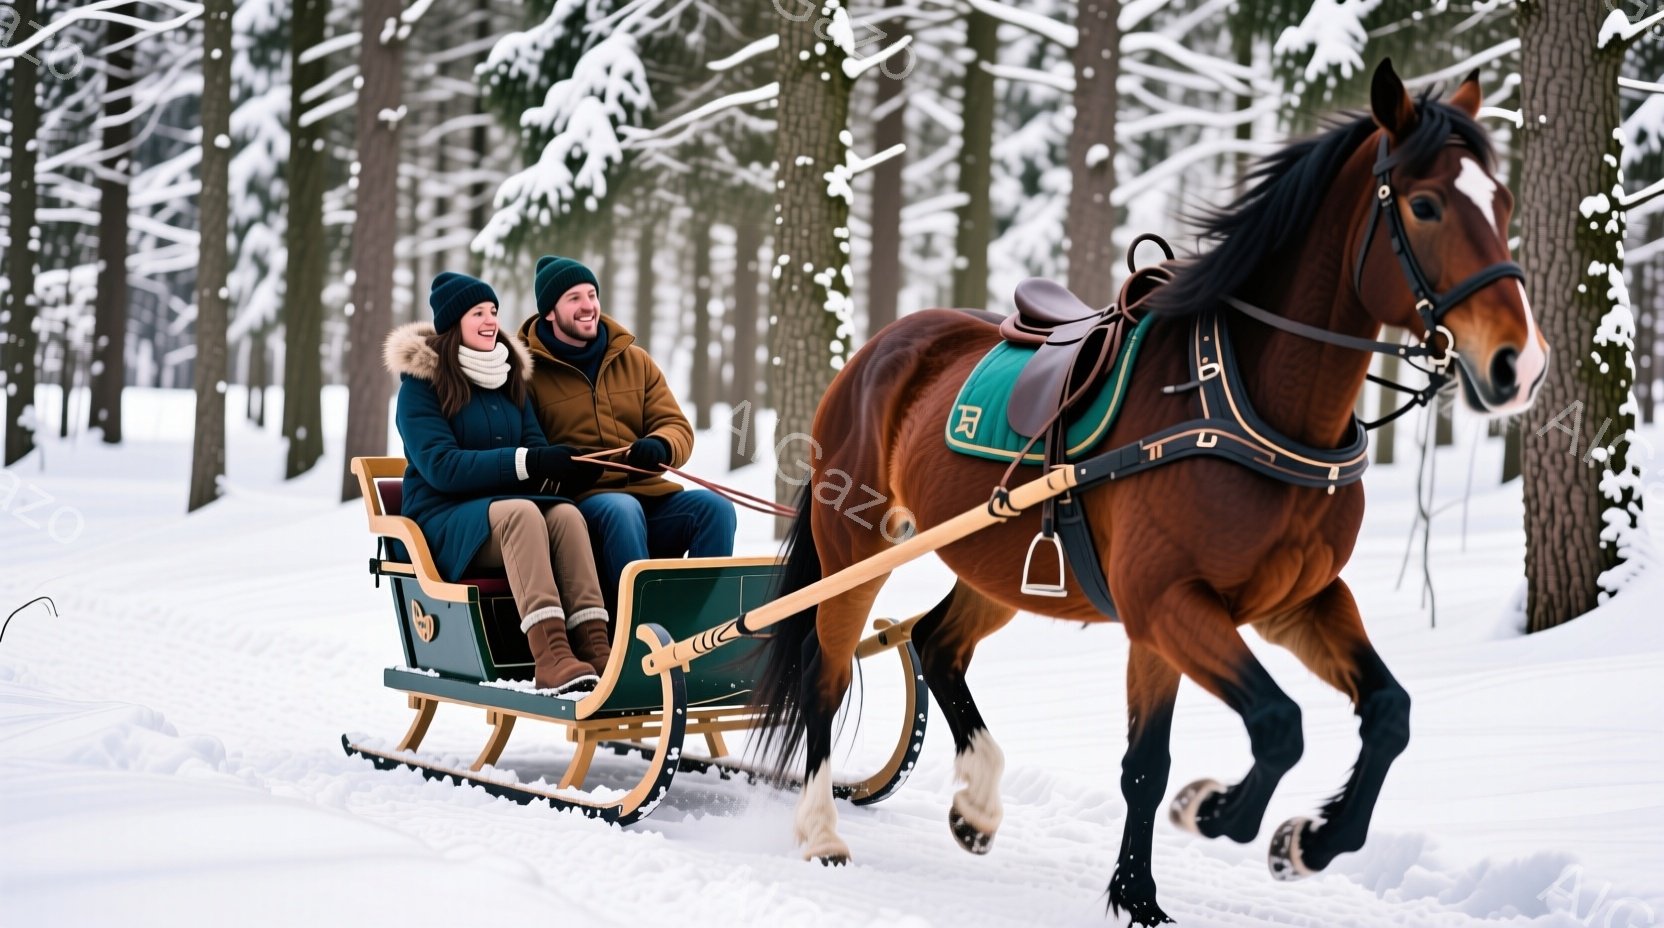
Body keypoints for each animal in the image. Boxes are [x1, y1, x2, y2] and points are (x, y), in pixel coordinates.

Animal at [749, 59, 1549, 926]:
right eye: (1425, 204)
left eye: (1504, 203)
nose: (1519, 364)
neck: (1237, 403)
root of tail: (879, 349)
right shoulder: (1166, 603)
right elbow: (1265, 729)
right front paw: (1209, 817)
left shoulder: (1293, 601)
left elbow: (1382, 716)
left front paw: (1299, 844)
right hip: (854, 547)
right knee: (826, 672)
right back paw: (822, 830)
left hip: (994, 564)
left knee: (936, 645)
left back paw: (978, 804)